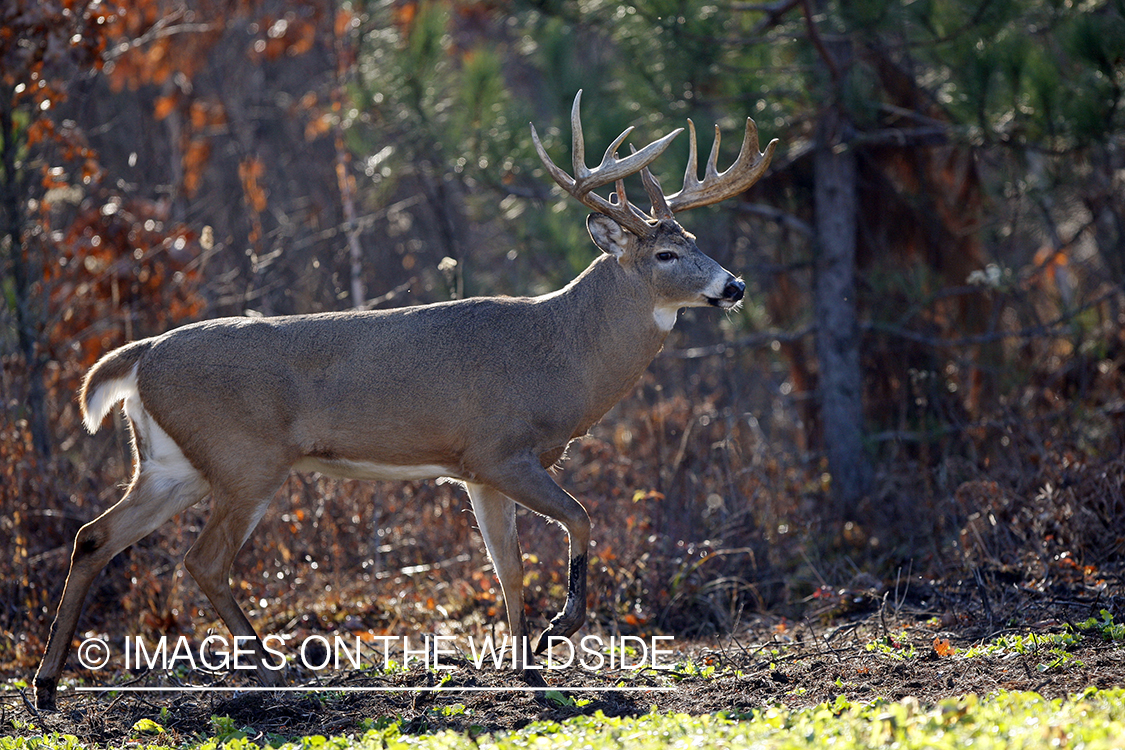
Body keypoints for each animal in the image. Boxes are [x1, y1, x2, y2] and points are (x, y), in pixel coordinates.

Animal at [32, 92, 774, 710]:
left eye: (696, 242)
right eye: (667, 254)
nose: (735, 285)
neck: (559, 351)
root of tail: (143, 356)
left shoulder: (475, 472)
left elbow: (507, 567)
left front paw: (529, 669)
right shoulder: (500, 450)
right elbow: (582, 519)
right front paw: (557, 632)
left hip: (172, 463)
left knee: (95, 535)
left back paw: (47, 686)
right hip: (247, 460)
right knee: (201, 560)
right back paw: (274, 671)